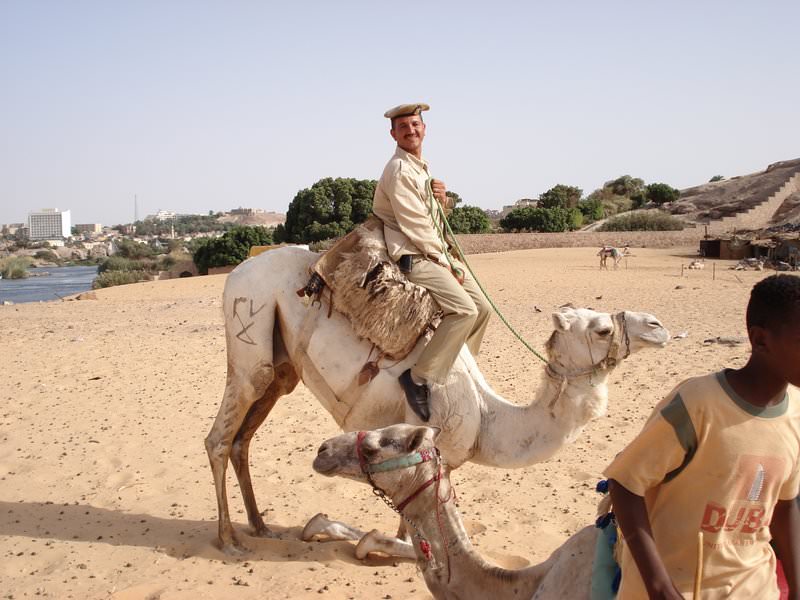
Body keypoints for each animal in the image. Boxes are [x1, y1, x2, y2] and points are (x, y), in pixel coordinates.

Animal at [205, 246, 669, 554]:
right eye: (602, 330)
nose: (657, 325)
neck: (486, 416)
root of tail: (234, 273)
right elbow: (409, 539)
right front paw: (354, 536)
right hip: (250, 333)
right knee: (220, 437)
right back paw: (228, 539)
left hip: (281, 370)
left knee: (244, 439)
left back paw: (260, 526)